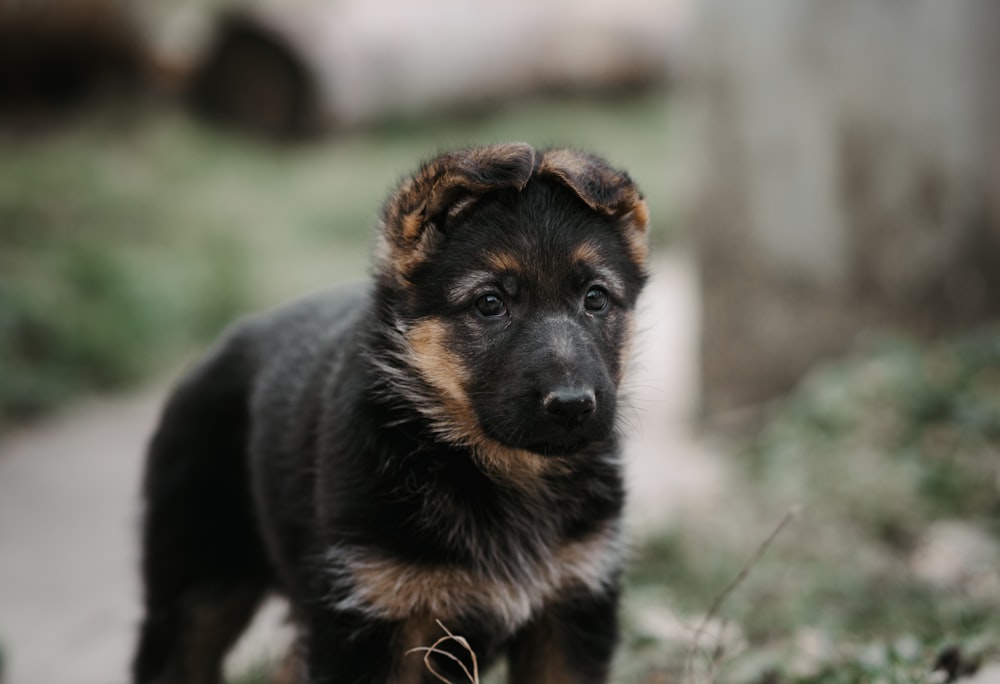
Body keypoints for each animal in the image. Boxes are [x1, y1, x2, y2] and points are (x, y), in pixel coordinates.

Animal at [133, 144, 648, 684]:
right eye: (490, 303)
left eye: (595, 298)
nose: (572, 405)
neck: (498, 470)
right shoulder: (369, 618)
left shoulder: (572, 605)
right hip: (194, 593)